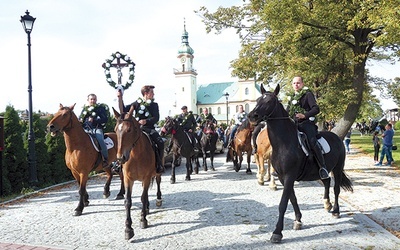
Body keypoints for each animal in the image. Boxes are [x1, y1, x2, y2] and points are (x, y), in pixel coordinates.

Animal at [111, 107, 162, 240]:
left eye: (129, 130)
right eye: (115, 130)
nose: (121, 158)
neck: (136, 155)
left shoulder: (147, 177)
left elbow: (143, 197)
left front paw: (143, 220)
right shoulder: (128, 179)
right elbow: (128, 201)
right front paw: (128, 229)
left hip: (156, 173)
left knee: (158, 182)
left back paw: (158, 199)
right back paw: (147, 208)